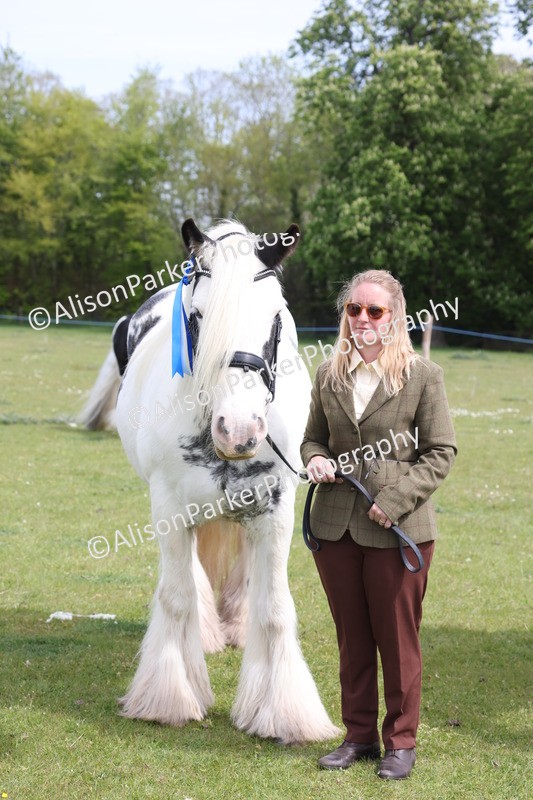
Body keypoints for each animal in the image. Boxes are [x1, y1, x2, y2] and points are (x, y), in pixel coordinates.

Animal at [80, 218, 339, 744]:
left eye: (276, 318)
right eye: (197, 316)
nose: (238, 431)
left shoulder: (276, 510)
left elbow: (275, 608)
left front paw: (284, 712)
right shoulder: (168, 508)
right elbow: (176, 598)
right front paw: (169, 697)